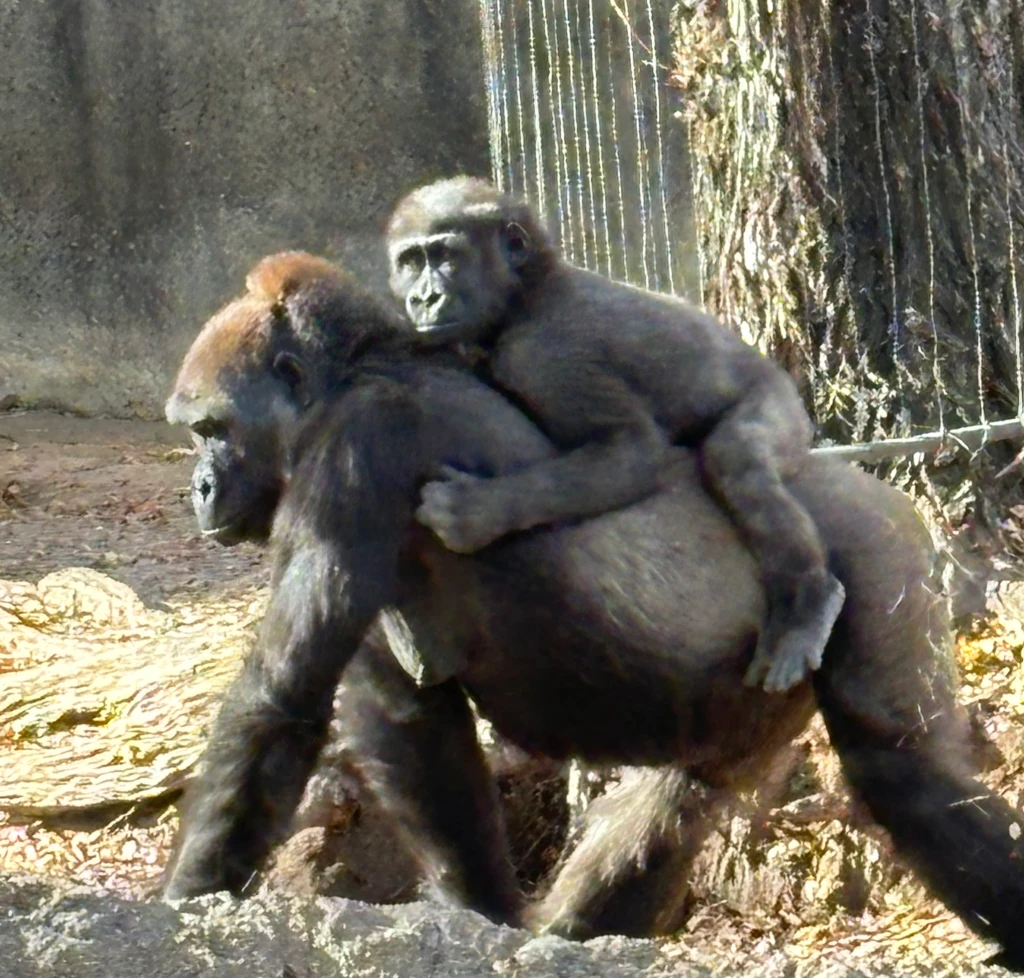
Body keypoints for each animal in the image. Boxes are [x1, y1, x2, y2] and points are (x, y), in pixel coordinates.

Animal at [163, 251, 1024, 970]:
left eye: (211, 428)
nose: (199, 489)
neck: (362, 367)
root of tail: (883, 488)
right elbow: (410, 723)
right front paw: (481, 918)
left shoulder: (354, 444)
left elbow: (281, 696)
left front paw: (186, 906)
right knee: (683, 800)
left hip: (880, 552)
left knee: (905, 773)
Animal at [387, 178, 843, 696]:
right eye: (410, 262)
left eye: (447, 257)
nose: (423, 299)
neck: (528, 292)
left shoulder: (545, 355)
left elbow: (633, 449)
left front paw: (479, 511)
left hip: (781, 403)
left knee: (737, 459)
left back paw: (808, 603)